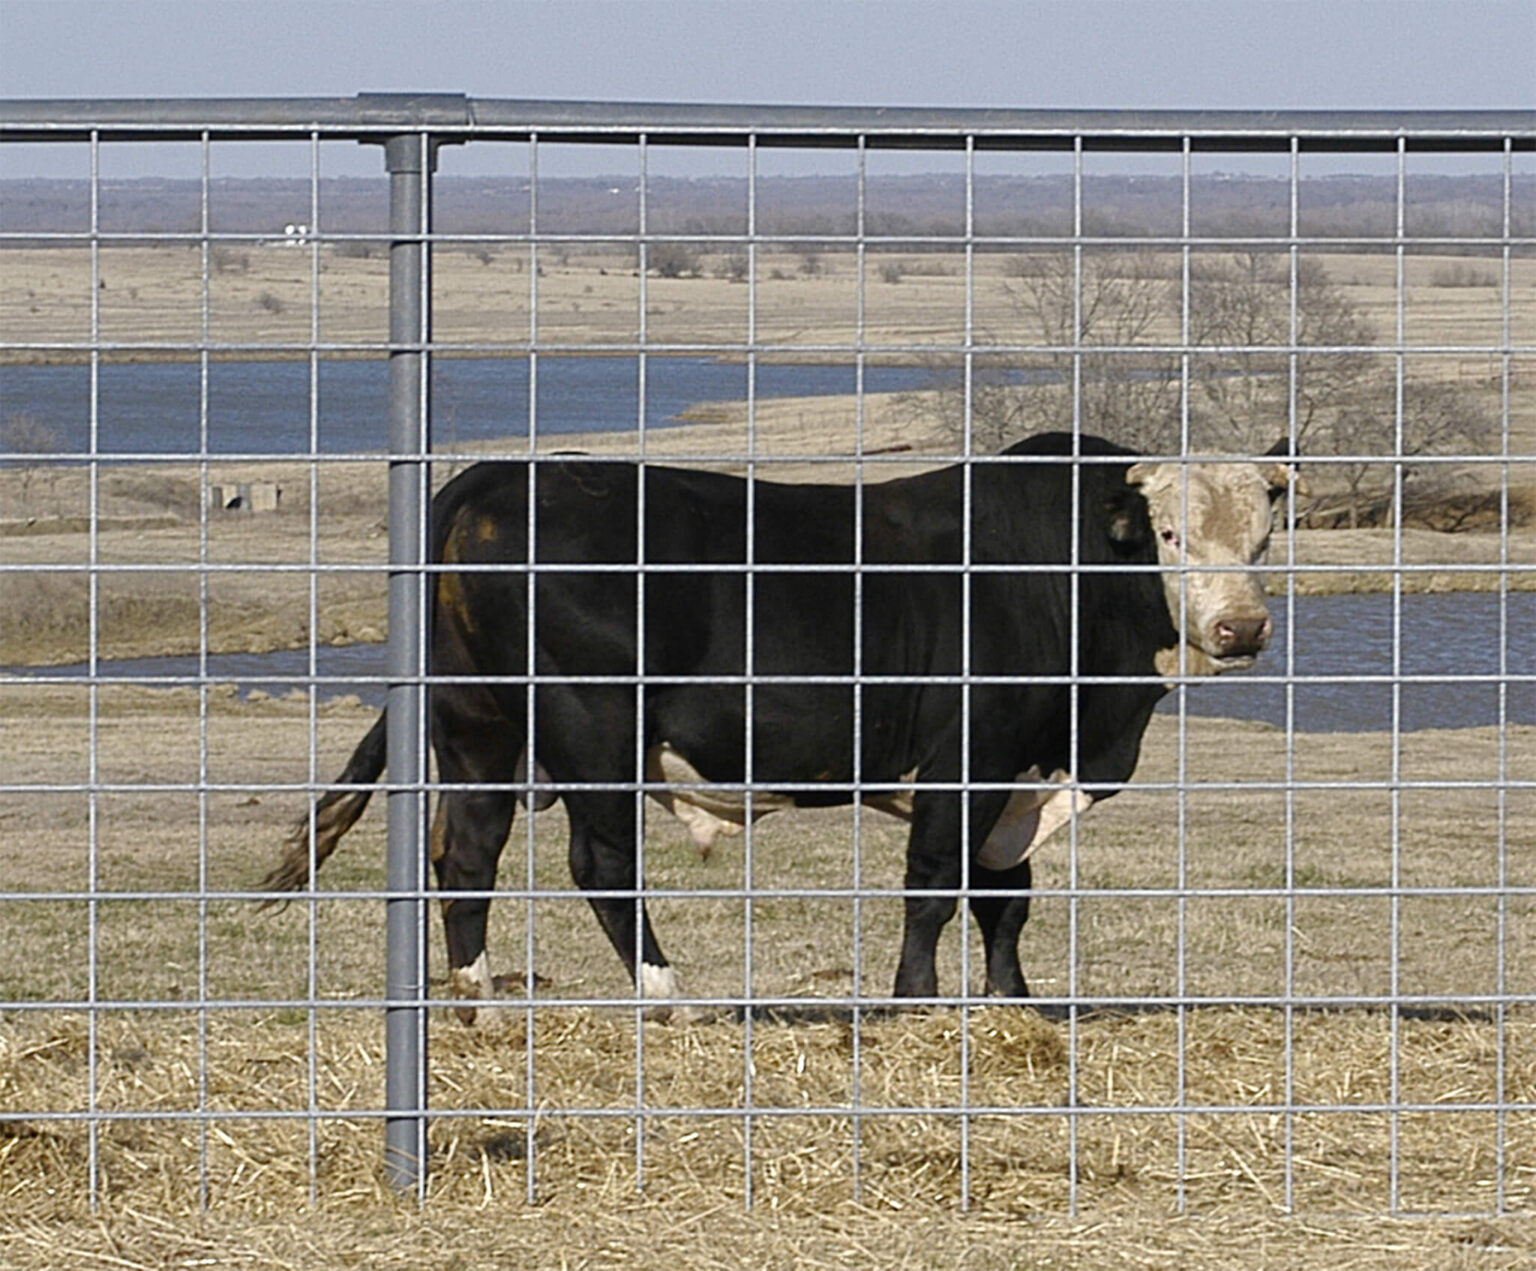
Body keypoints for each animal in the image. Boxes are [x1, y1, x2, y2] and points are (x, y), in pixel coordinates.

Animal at [262, 431, 1293, 1021]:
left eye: (1261, 537)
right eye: (1169, 535)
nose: (1241, 628)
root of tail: (491, 483)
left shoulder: (1018, 773)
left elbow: (1007, 897)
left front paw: (1015, 1005)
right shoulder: (967, 758)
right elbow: (935, 887)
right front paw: (914, 1006)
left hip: (478, 726)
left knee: (466, 854)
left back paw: (480, 1009)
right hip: (590, 727)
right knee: (601, 863)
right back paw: (667, 998)